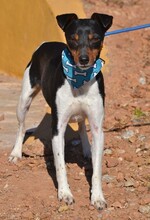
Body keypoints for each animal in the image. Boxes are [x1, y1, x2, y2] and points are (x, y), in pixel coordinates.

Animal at [9, 12, 112, 209]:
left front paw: (97, 197)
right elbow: (60, 165)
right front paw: (65, 194)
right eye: (73, 39)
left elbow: (96, 169)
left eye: (95, 38)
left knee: (81, 126)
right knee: (21, 128)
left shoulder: (98, 128)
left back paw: (87, 150)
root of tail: (45, 44)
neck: (80, 79)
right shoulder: (58, 129)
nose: (84, 59)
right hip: (24, 100)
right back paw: (16, 153)